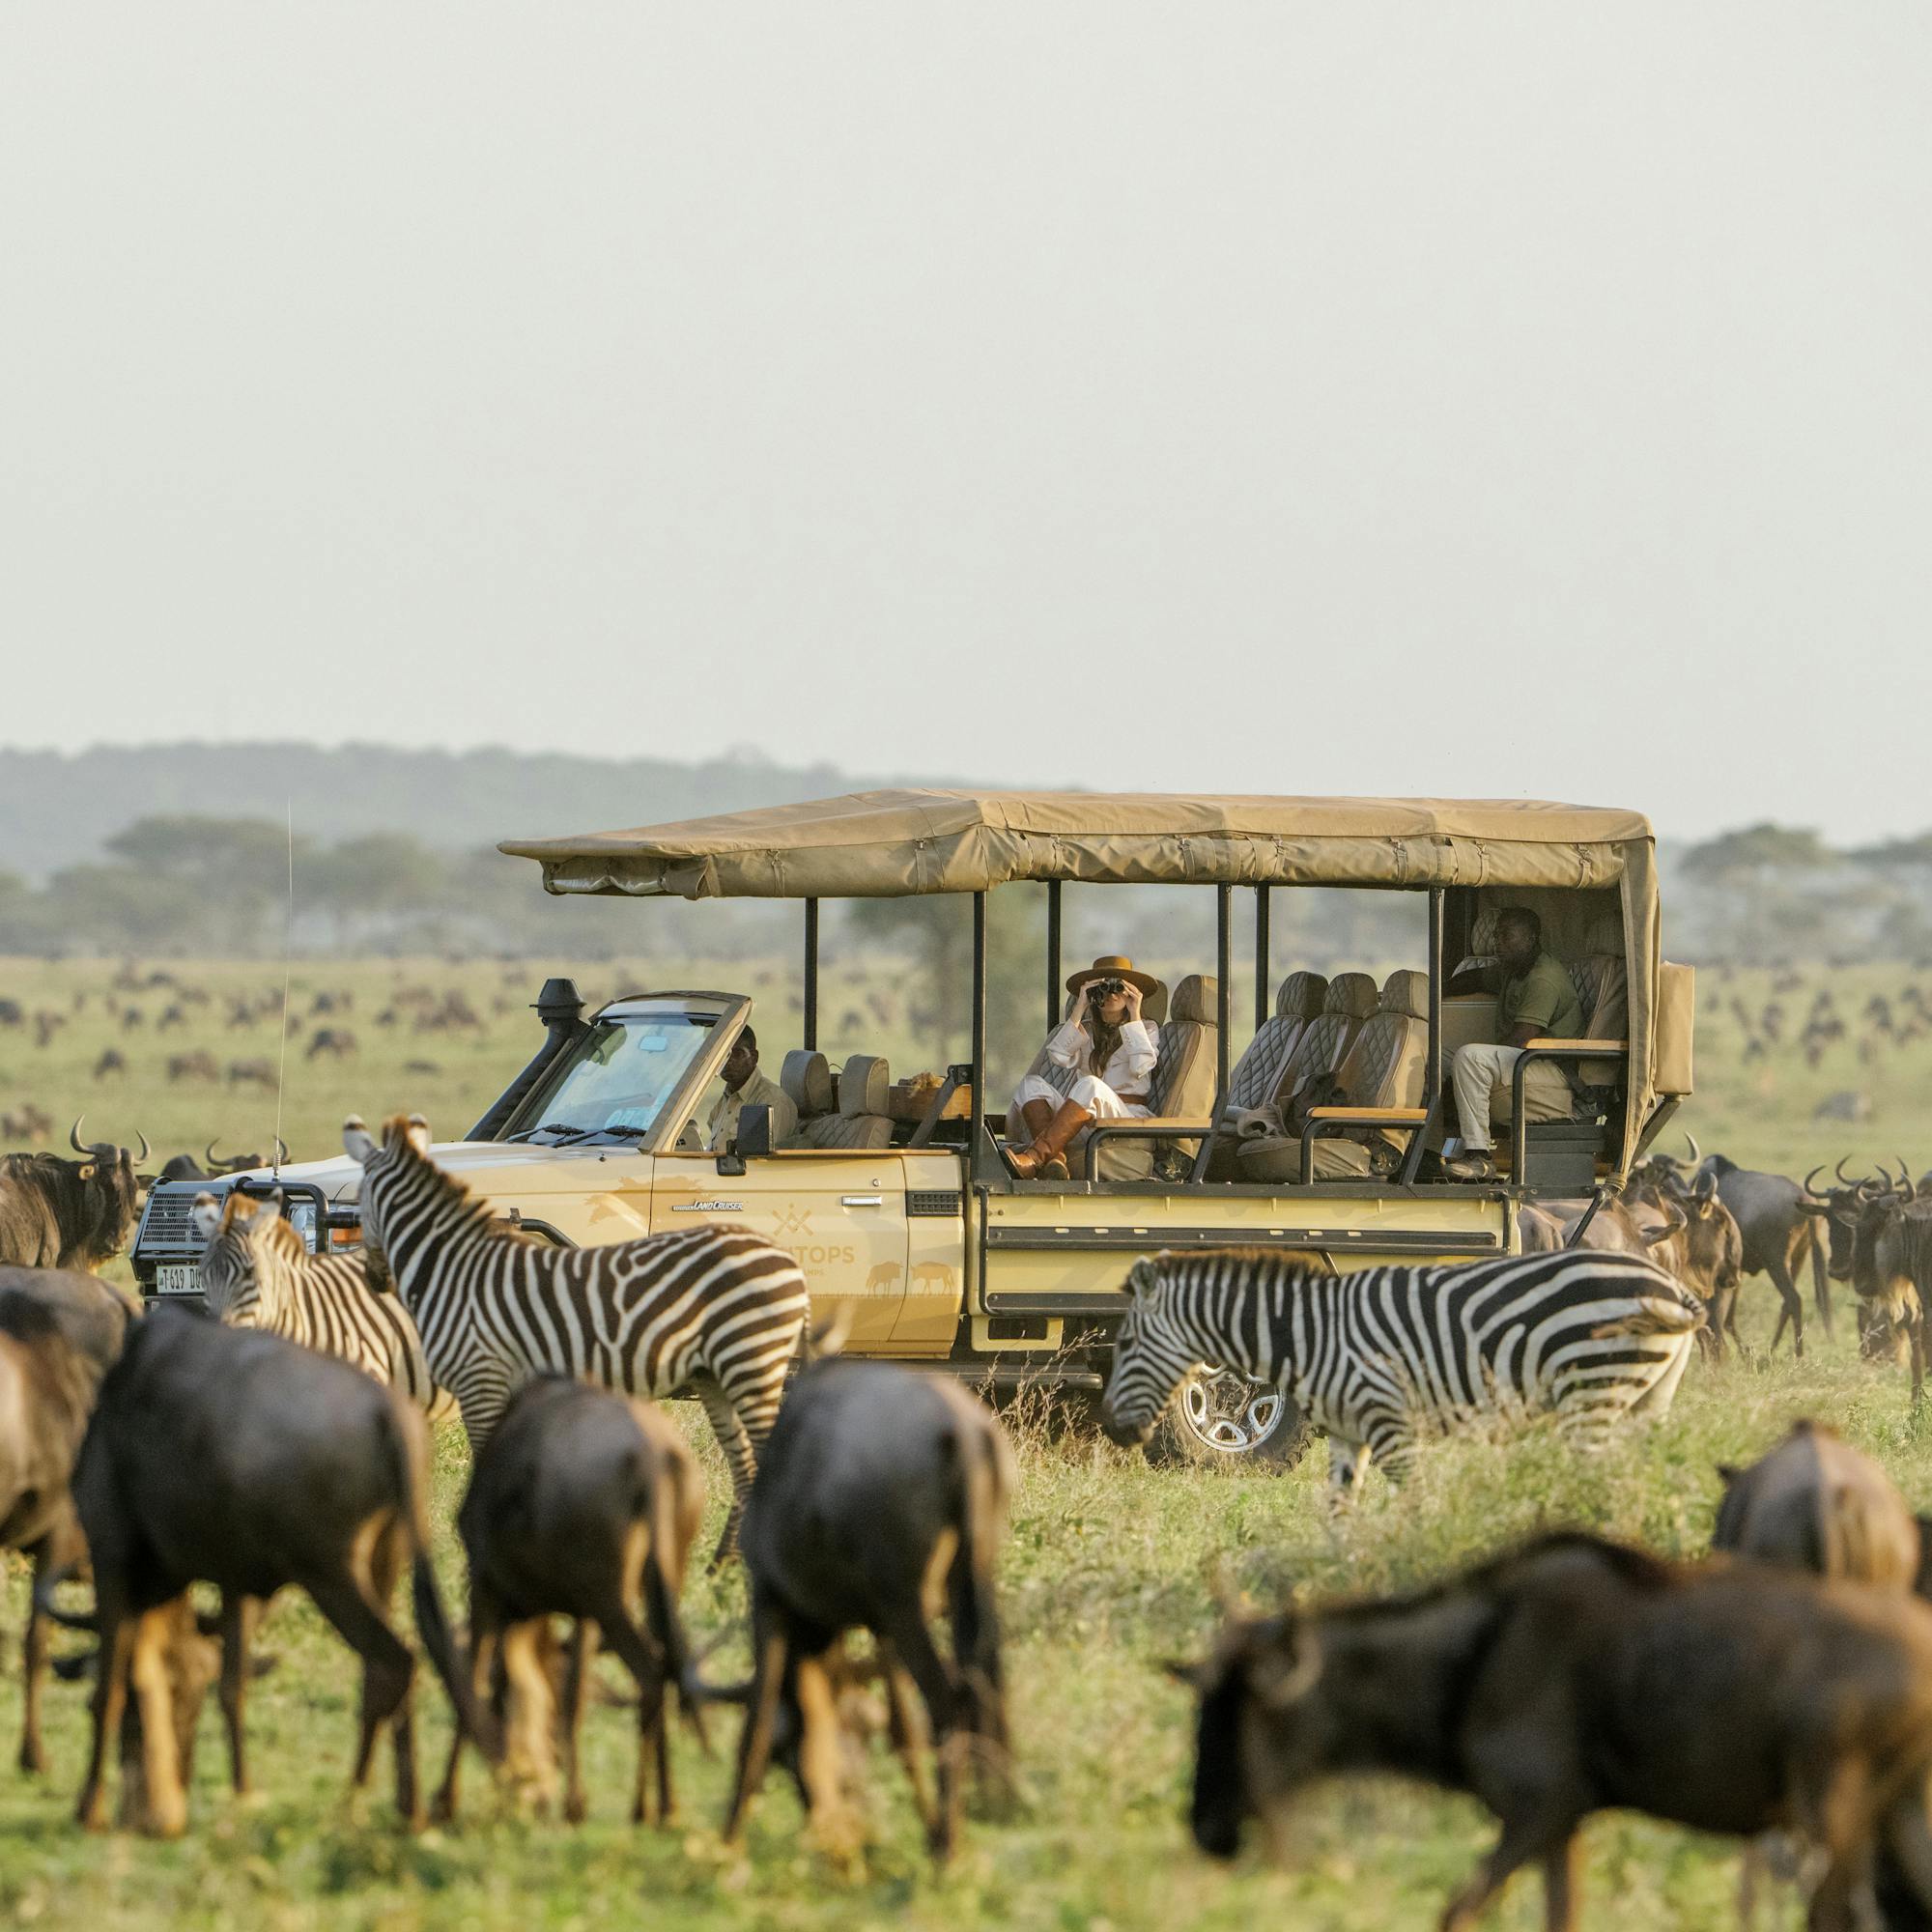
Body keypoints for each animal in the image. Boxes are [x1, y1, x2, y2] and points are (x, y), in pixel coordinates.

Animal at [343, 1113, 810, 1563]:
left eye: (357, 1208)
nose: (375, 1279)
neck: (454, 1267)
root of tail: (789, 1261)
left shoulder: (481, 1379)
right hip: (721, 1373)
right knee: (746, 1467)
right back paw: (722, 1567)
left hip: (750, 1360)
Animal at [1099, 1247, 1704, 1494]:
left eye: (1125, 1341)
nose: (1111, 1429)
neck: (1310, 1332)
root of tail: (1674, 1288)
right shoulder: (1349, 1431)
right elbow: (1339, 1510)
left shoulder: (1390, 1420)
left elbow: (1412, 1500)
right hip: (1646, 1400)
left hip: (1592, 1393)